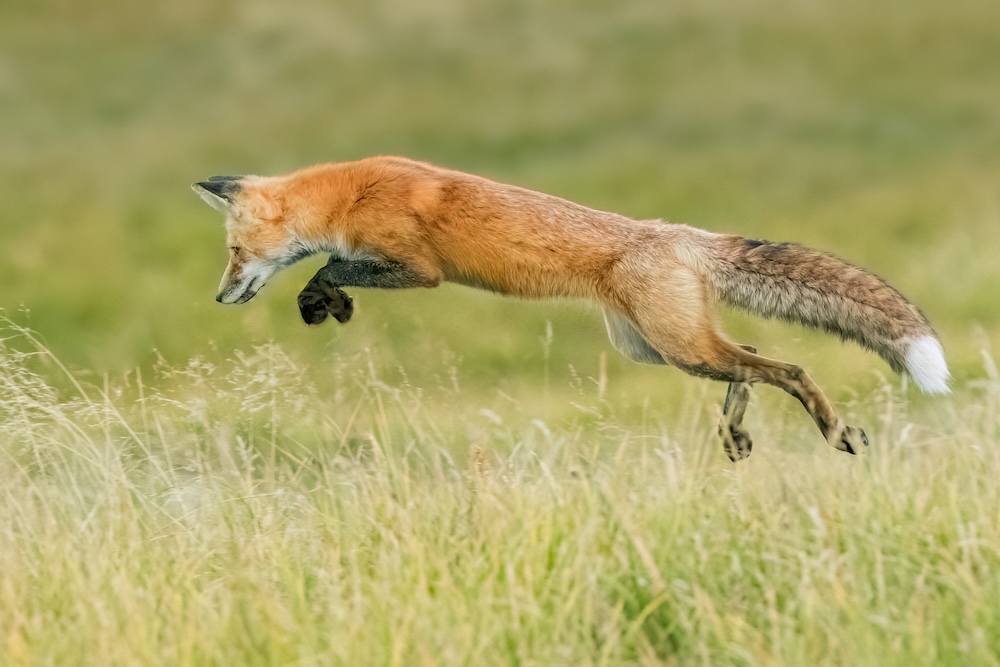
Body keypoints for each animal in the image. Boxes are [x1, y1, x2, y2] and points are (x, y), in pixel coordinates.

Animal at [193, 156, 950, 461]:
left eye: (233, 252)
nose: (219, 296)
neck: (349, 194)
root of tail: (678, 233)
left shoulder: (419, 270)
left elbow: (327, 266)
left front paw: (325, 302)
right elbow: (329, 266)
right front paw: (332, 302)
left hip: (678, 347)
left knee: (787, 368)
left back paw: (834, 431)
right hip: (656, 348)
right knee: (755, 361)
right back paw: (736, 431)